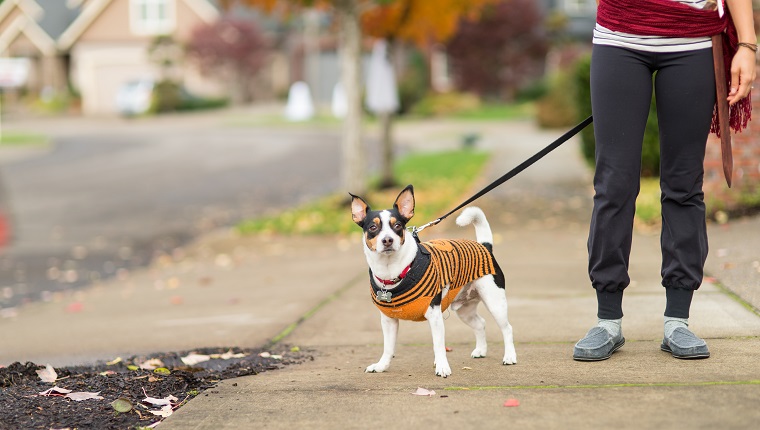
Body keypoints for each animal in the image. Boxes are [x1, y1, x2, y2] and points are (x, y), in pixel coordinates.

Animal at [350, 185, 516, 376]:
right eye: (373, 227)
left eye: (397, 225)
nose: (387, 240)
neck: (393, 271)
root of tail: (484, 246)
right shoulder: (388, 320)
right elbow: (388, 348)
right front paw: (381, 366)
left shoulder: (434, 316)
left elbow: (438, 345)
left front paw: (442, 367)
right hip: (465, 310)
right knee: (480, 324)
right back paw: (481, 350)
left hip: (495, 303)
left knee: (507, 328)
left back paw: (510, 356)